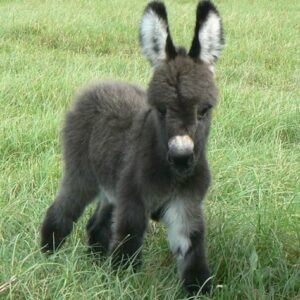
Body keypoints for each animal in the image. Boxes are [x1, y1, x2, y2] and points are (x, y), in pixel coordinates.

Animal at [41, 0, 225, 296]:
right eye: (160, 110)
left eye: (204, 111)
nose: (182, 157)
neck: (171, 175)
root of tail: (98, 85)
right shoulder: (134, 200)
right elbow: (128, 243)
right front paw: (119, 285)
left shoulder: (186, 204)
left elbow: (193, 247)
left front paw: (198, 290)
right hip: (83, 175)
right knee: (63, 210)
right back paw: (47, 257)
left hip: (111, 187)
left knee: (97, 224)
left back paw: (94, 261)